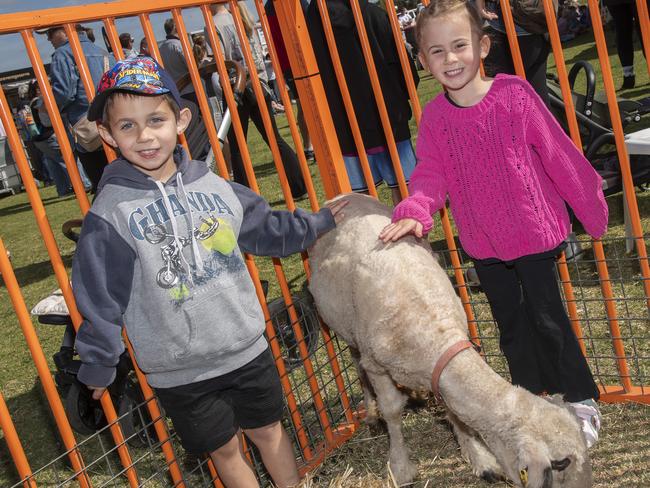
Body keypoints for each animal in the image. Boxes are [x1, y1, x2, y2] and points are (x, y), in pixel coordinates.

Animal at [306, 194, 588, 488]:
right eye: (561, 465)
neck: (435, 334)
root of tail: (343, 197)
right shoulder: (376, 364)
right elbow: (392, 410)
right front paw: (400, 467)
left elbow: (455, 413)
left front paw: (480, 459)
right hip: (348, 329)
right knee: (357, 364)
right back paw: (371, 411)